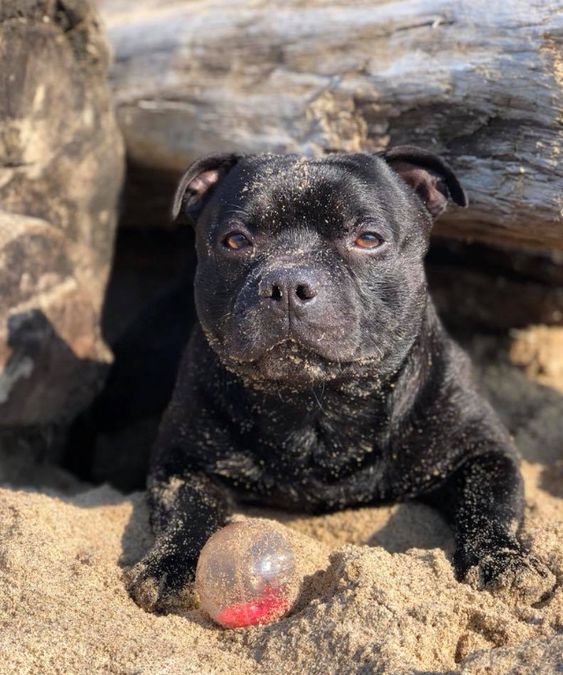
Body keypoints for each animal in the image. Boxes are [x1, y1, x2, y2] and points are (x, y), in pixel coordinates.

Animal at [126, 148, 556, 612]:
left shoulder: (482, 450)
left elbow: (491, 502)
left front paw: (503, 560)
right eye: (235, 241)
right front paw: (170, 566)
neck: (319, 404)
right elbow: (187, 509)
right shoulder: (182, 460)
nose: (286, 283)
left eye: (368, 238)